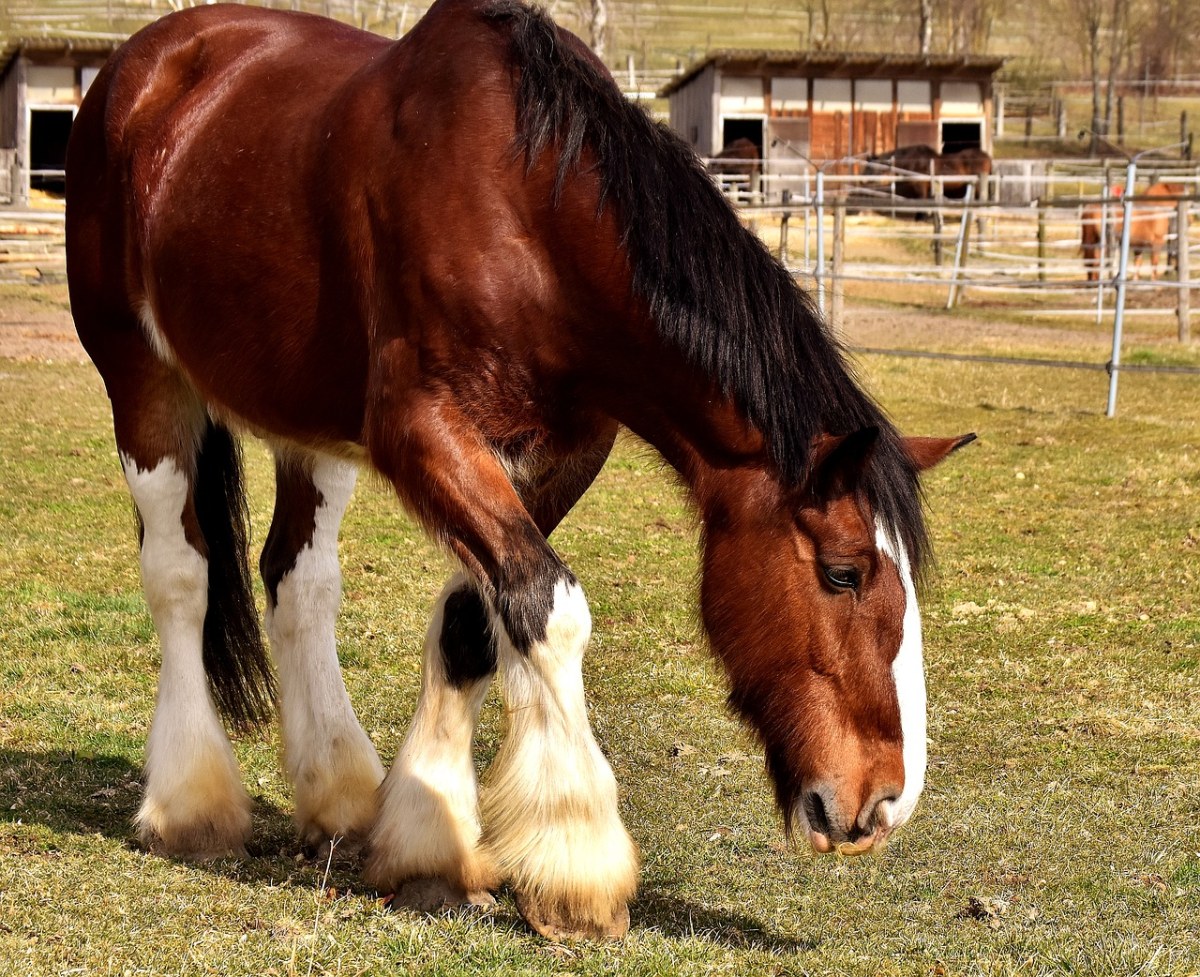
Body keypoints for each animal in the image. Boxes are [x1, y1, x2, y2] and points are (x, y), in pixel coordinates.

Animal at [65, 1, 969, 950]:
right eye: (844, 572)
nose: (884, 801)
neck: (530, 210)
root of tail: (151, 62)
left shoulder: (559, 451)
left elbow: (478, 618)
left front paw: (427, 845)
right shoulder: (423, 433)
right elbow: (550, 606)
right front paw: (577, 863)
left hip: (306, 420)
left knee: (297, 581)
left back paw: (340, 794)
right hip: (141, 380)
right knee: (181, 576)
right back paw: (190, 803)